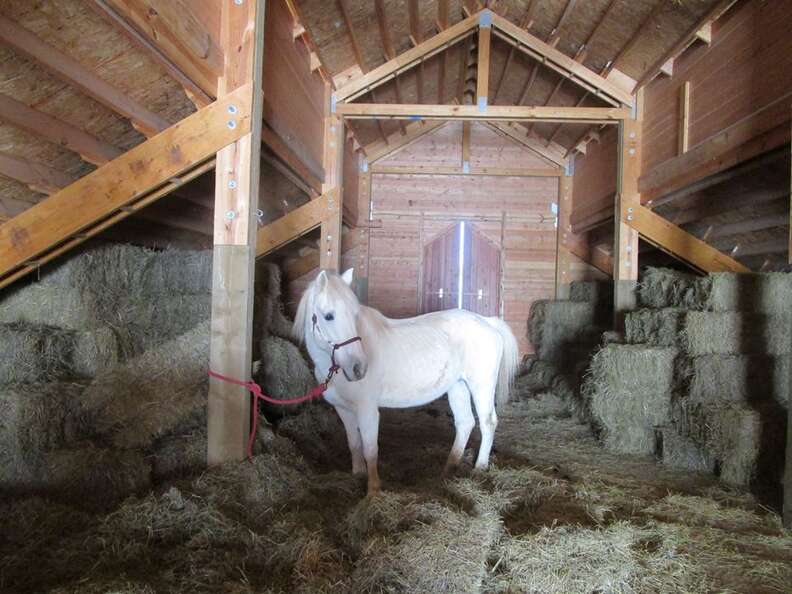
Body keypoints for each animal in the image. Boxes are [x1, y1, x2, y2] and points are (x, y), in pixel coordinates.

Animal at [292, 266, 520, 492]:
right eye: (328, 316)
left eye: (355, 315)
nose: (359, 368)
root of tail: (488, 322)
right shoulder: (344, 410)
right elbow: (354, 444)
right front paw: (358, 475)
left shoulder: (367, 410)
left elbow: (370, 449)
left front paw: (373, 490)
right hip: (458, 387)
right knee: (465, 423)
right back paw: (447, 470)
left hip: (481, 386)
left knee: (487, 422)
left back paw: (479, 468)